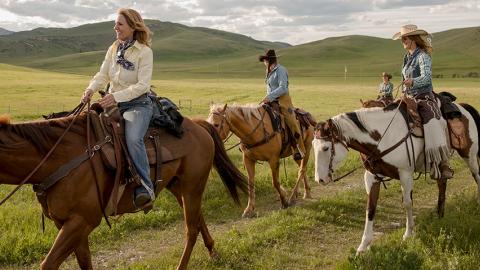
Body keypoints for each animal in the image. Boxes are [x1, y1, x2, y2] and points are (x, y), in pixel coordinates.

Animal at [0, 114, 248, 270]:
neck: (58, 158)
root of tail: (197, 125)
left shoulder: (82, 221)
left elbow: (49, 264)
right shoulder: (69, 224)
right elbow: (84, 261)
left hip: (192, 186)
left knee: (191, 229)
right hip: (180, 187)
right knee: (198, 218)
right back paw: (213, 252)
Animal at [312, 103, 480, 253]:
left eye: (326, 148)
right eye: (313, 145)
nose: (320, 180)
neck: (383, 137)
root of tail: (463, 107)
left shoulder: (405, 173)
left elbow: (407, 203)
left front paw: (408, 234)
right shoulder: (372, 177)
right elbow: (370, 208)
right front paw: (363, 246)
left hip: (469, 155)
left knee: (476, 176)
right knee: (442, 184)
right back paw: (440, 215)